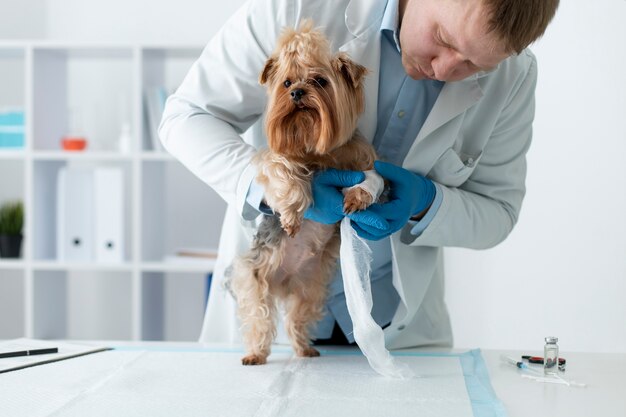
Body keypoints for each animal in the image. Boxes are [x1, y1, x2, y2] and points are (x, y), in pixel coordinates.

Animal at [227, 20, 378, 364]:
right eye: (286, 82)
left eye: (320, 80)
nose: (297, 92)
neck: (318, 150)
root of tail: (282, 282)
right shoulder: (275, 158)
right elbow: (284, 172)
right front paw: (292, 215)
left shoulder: (362, 158)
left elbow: (371, 179)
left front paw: (357, 196)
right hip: (253, 275)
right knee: (259, 317)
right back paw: (255, 354)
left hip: (309, 286)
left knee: (297, 317)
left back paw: (304, 349)